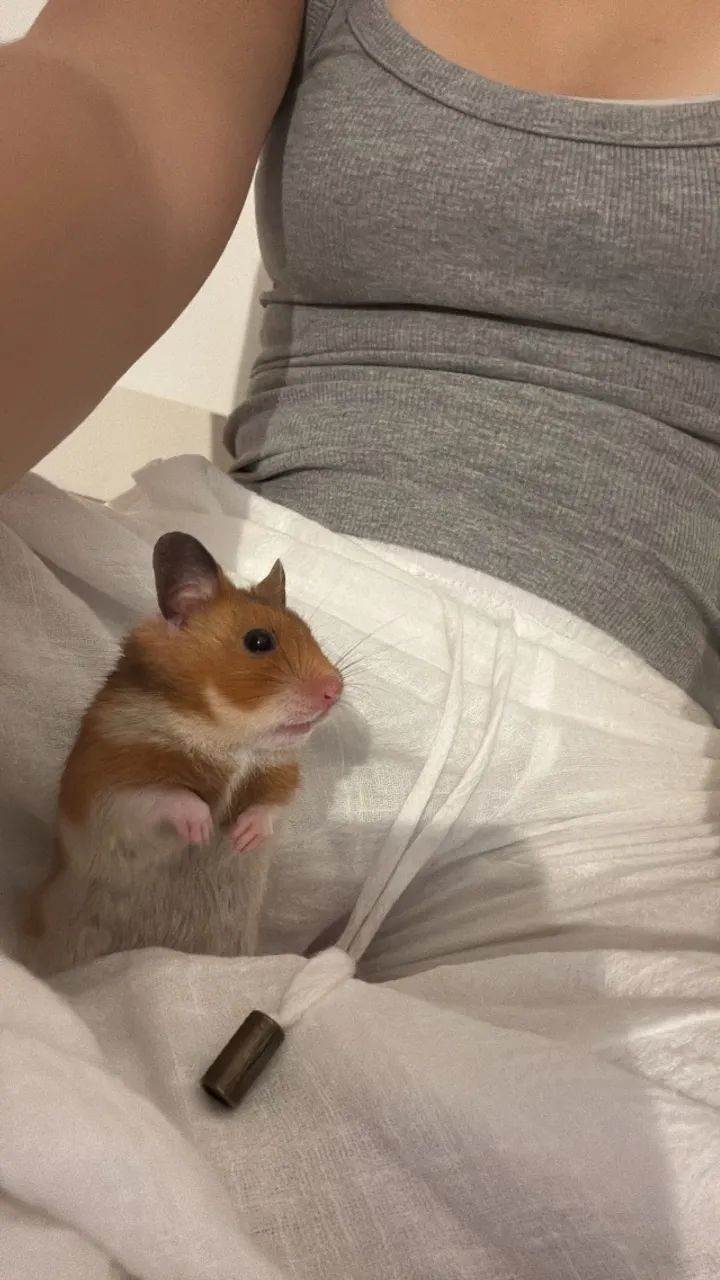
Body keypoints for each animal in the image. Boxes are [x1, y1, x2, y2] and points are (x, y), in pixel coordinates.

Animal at [21, 531, 342, 975]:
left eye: (308, 630)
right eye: (259, 641)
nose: (336, 690)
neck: (229, 740)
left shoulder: (281, 780)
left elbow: (269, 809)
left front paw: (241, 837)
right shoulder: (111, 787)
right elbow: (169, 797)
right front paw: (205, 830)